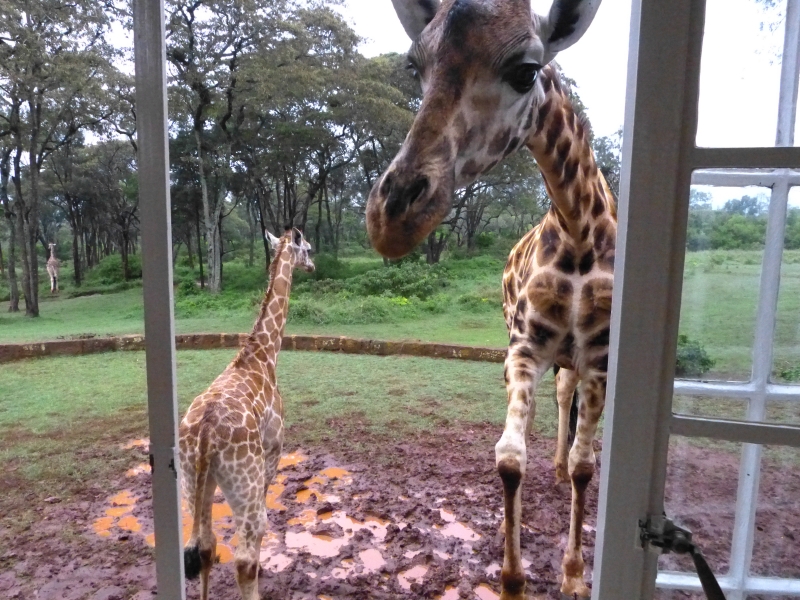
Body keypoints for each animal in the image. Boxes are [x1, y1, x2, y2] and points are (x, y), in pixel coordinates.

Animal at [179, 227, 314, 600]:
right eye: (308, 249)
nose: (313, 266)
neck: (263, 354)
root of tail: (206, 436)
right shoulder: (273, 446)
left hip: (192, 481)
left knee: (204, 546)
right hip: (243, 481)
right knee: (242, 559)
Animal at [364, 2, 608, 598]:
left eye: (526, 70)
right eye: (414, 67)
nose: (391, 216)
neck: (578, 233)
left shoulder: (597, 358)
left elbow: (586, 464)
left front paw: (573, 575)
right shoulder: (524, 348)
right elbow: (509, 457)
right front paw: (511, 574)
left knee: (571, 423)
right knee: (550, 404)